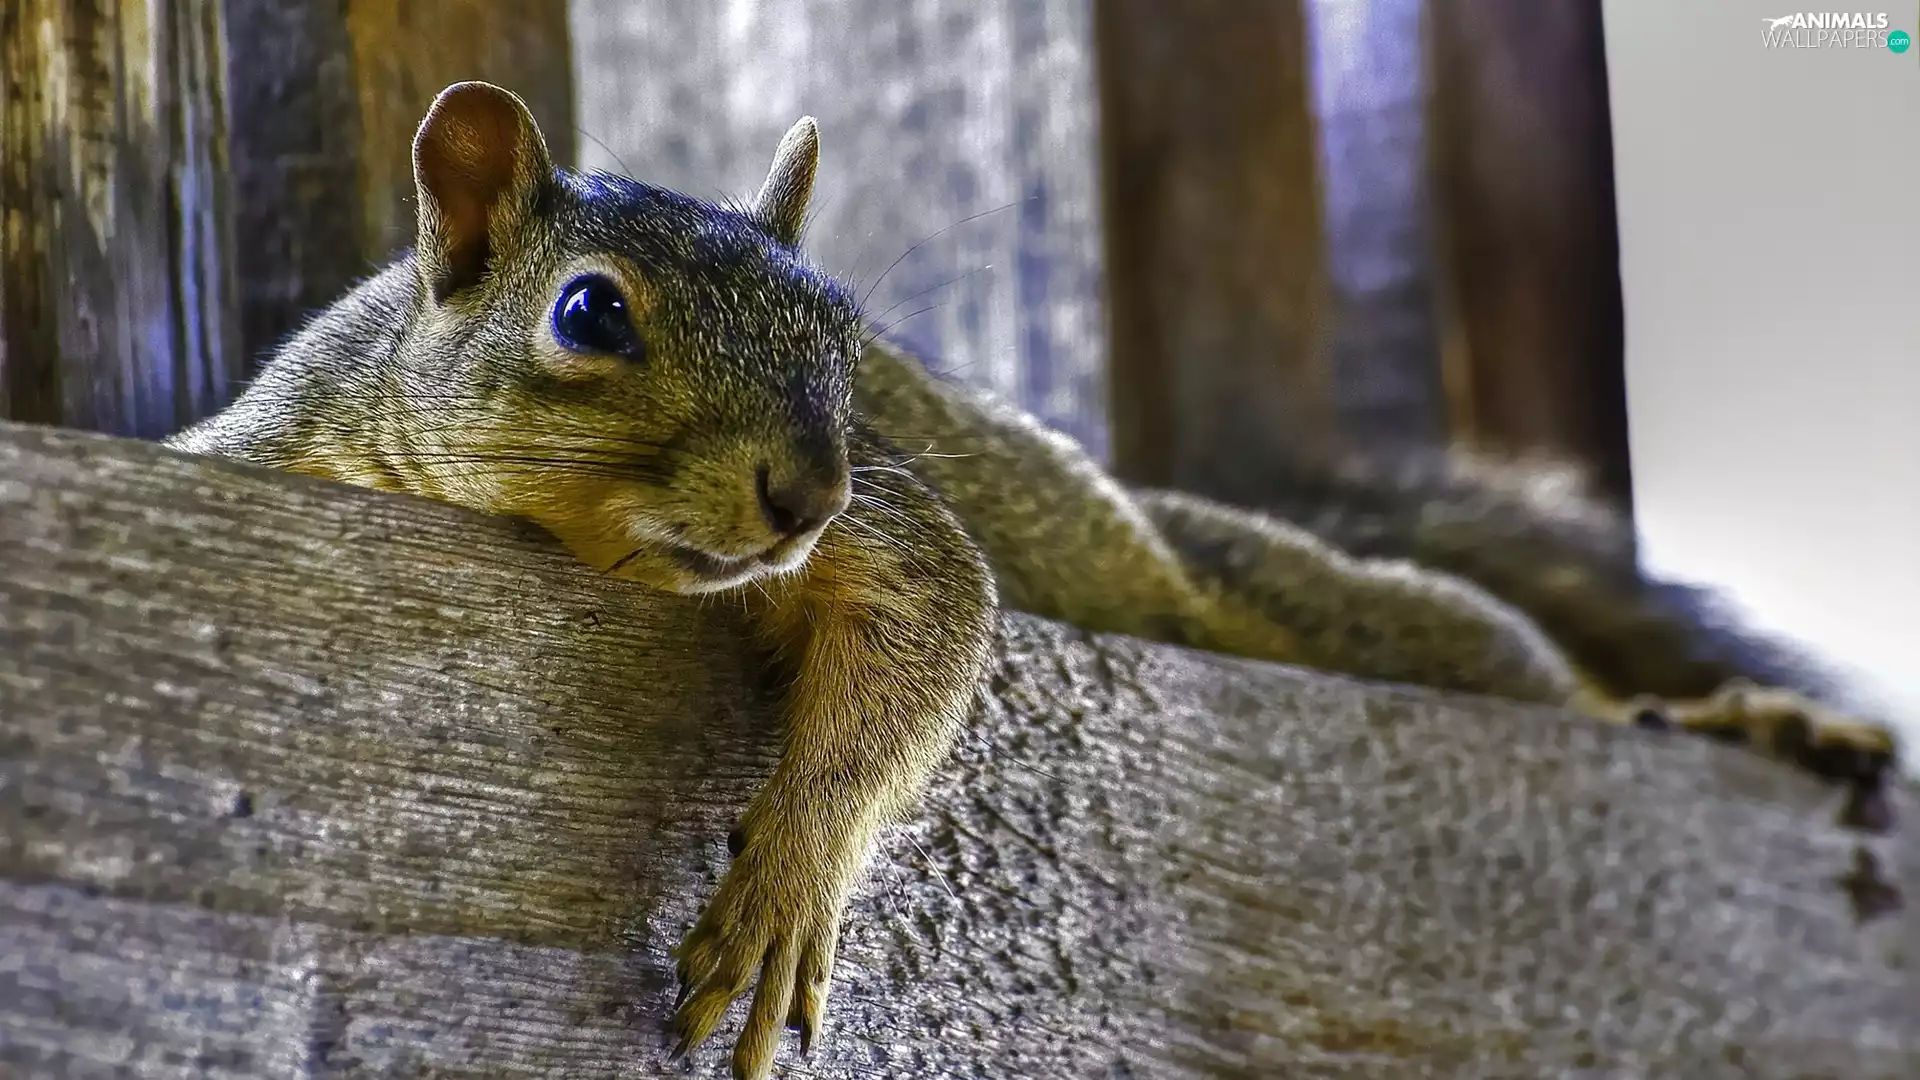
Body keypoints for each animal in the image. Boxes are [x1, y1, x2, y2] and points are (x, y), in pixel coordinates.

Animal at [163, 81, 1897, 1078]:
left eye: (849, 335)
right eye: (589, 314)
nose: (808, 486)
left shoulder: (896, 524)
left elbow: (919, 639)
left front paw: (788, 885)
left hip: (1322, 612)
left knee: (1515, 666)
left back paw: (1730, 717)